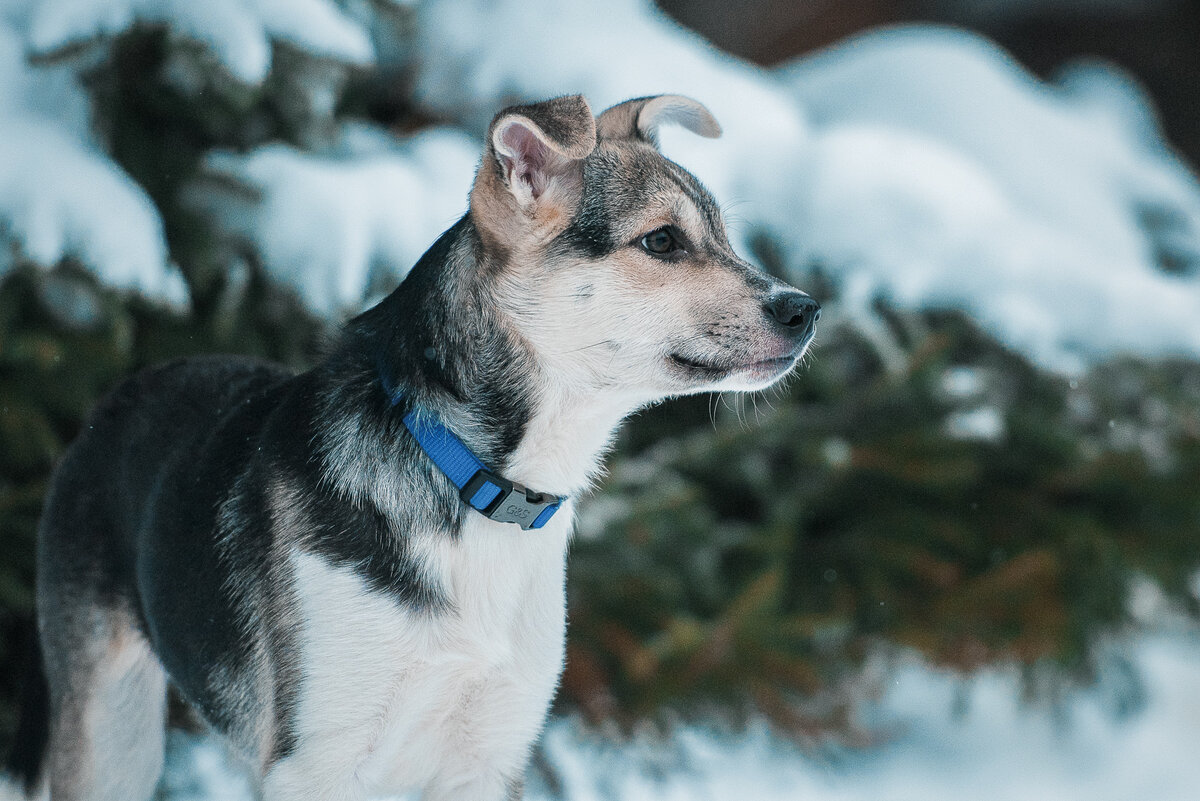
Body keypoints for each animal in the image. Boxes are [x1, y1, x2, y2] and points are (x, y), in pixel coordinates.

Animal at [4, 95, 816, 801]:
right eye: (661, 241)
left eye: (725, 237)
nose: (806, 309)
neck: (478, 483)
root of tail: (122, 389)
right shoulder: (315, 759)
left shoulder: (487, 753)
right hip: (111, 729)